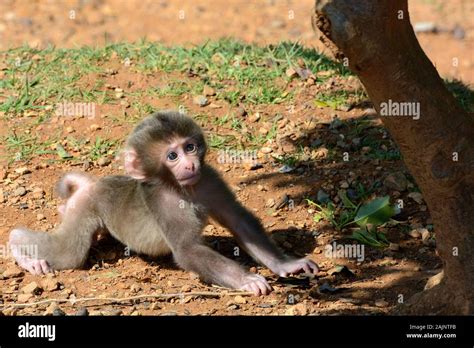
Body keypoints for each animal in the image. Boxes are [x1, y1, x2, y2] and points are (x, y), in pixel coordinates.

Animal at [9, 110, 318, 294]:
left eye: (190, 147)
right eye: (172, 156)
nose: (190, 164)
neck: (182, 188)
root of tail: (93, 185)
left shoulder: (209, 179)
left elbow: (239, 222)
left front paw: (286, 265)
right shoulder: (162, 200)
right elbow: (187, 249)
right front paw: (246, 280)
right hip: (85, 207)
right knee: (68, 253)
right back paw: (20, 249)